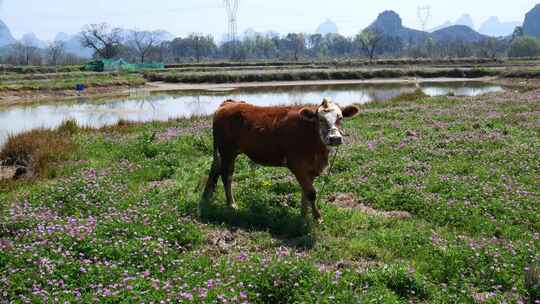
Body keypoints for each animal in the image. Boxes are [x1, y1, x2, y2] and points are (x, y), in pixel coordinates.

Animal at [200, 98, 360, 222]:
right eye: (320, 119)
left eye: (340, 118)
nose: (335, 138)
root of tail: (229, 103)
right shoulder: (297, 165)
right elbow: (311, 192)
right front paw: (317, 218)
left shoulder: (311, 168)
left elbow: (305, 192)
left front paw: (303, 216)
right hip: (227, 151)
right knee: (226, 175)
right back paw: (231, 204)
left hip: (225, 152)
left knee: (215, 169)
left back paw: (207, 196)